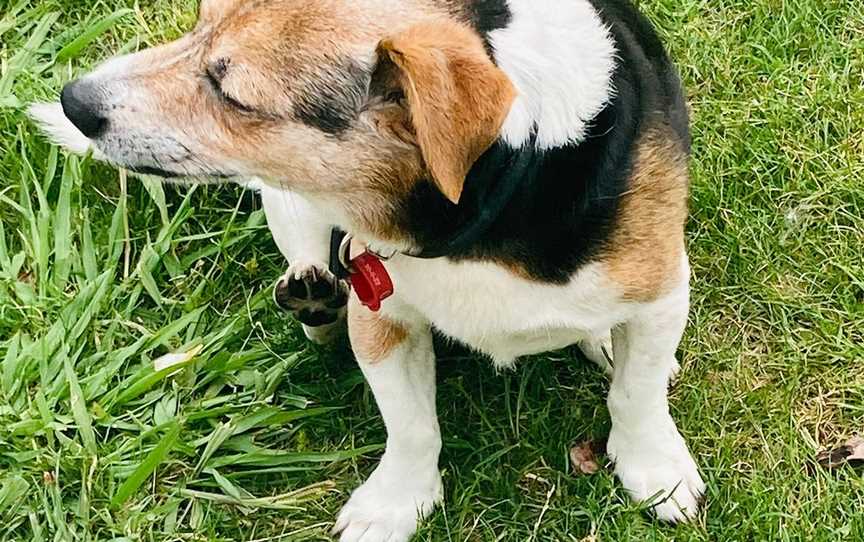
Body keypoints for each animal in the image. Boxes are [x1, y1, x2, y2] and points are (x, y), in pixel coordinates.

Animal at [32, 0, 704, 540]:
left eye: (234, 95)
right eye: (198, 24)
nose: (74, 100)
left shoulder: (661, 294)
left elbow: (636, 398)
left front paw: (655, 472)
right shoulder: (382, 316)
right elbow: (410, 426)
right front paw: (398, 503)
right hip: (290, 205)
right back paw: (313, 298)